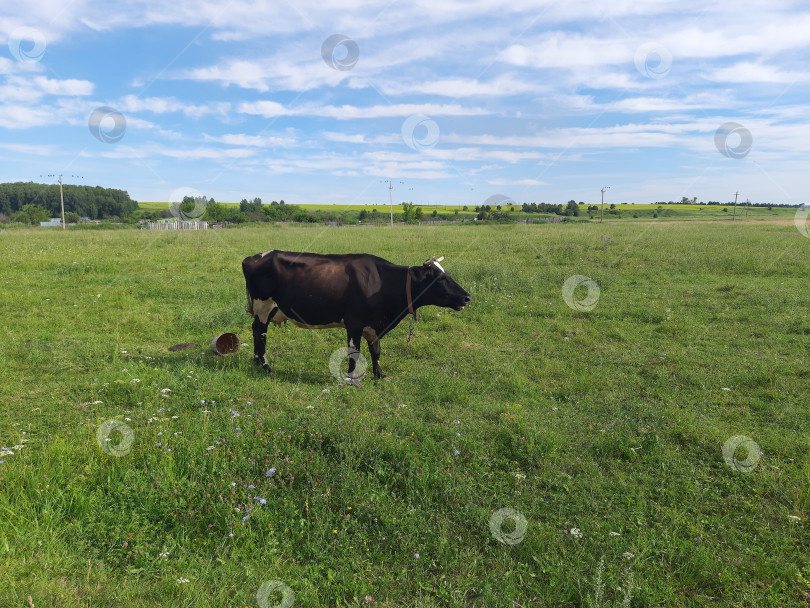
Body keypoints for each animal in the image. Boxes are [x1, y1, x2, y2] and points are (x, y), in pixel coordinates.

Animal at [241, 251, 468, 380]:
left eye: (448, 275)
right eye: (440, 280)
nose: (467, 297)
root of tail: (255, 257)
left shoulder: (373, 326)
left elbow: (376, 351)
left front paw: (380, 375)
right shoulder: (354, 323)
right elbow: (354, 352)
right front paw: (351, 377)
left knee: (255, 330)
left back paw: (256, 361)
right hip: (263, 306)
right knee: (260, 333)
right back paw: (265, 365)